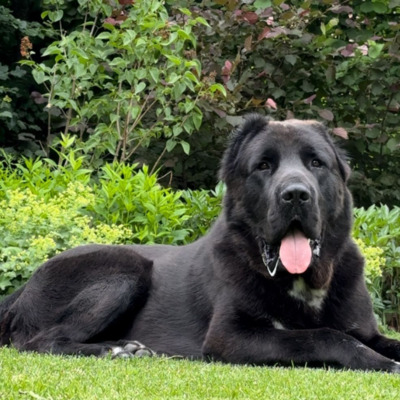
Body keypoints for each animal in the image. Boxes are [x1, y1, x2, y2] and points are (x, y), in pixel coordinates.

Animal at [0, 115, 400, 372]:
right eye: (264, 166)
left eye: (316, 163)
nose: (295, 194)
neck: (303, 281)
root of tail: (23, 289)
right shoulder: (231, 338)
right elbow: (325, 337)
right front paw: (383, 363)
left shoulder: (364, 329)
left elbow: (360, 336)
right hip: (126, 267)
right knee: (42, 342)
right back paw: (116, 349)